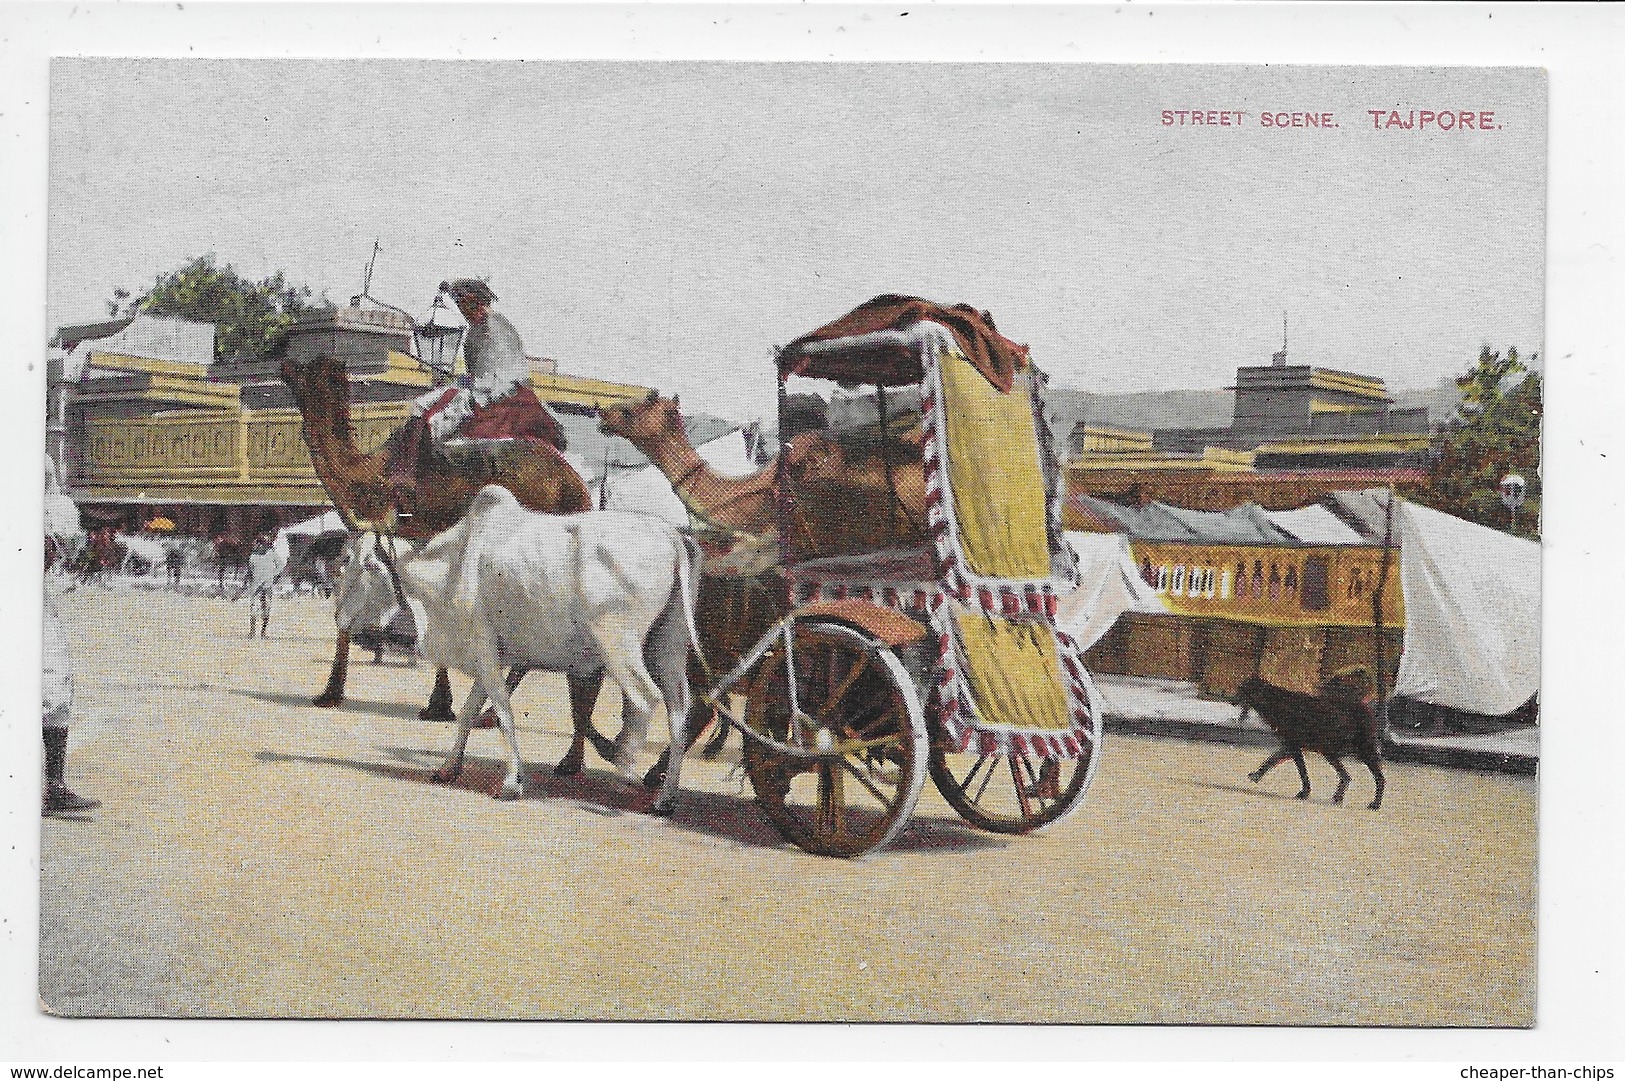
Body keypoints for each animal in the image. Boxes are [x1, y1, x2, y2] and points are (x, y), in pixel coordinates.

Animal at [279, 354, 620, 777]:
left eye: (310, 370)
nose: (282, 362)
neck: (372, 475)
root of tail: (580, 487)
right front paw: (335, 692)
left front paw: (436, 704)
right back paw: (499, 715)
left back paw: (566, 757)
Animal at [1235, 676, 1391, 809]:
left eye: (1241, 690)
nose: (1231, 700)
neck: (1277, 703)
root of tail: (1368, 710)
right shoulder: (1290, 746)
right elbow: (1272, 760)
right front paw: (1257, 775)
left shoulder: (1294, 748)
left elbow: (1302, 772)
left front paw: (1304, 792)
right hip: (1330, 752)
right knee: (1346, 776)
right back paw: (1338, 798)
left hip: (1361, 752)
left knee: (1379, 778)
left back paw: (1375, 804)